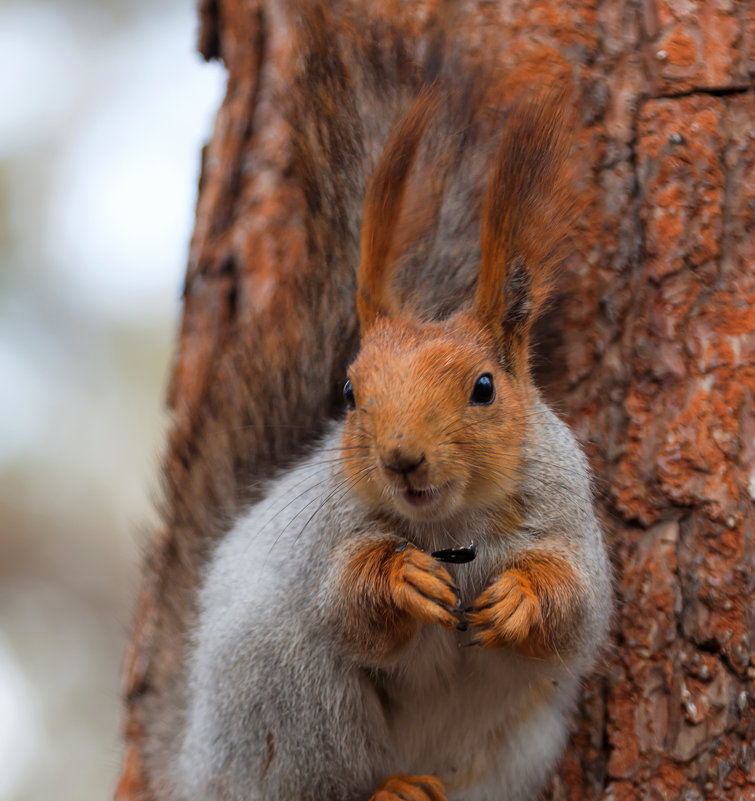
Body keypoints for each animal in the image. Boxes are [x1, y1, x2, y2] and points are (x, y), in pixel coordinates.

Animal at [171, 72, 616, 796]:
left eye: (484, 387)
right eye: (350, 394)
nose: (402, 458)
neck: (452, 528)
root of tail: (193, 768)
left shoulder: (570, 526)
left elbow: (577, 608)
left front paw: (521, 597)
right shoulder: (326, 537)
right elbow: (351, 604)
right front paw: (399, 576)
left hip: (516, 745)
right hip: (282, 693)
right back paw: (389, 787)